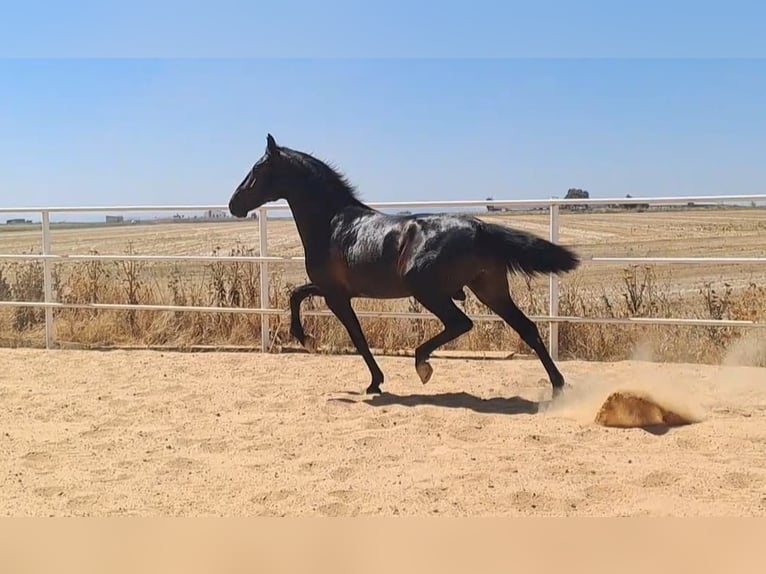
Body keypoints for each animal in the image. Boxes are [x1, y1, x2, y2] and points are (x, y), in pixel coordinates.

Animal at [230, 134, 584, 400]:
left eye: (258, 169)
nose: (234, 205)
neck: (333, 223)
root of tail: (480, 228)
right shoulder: (335, 289)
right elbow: (296, 294)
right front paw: (304, 338)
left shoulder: (336, 296)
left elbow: (356, 335)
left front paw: (372, 381)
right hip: (490, 290)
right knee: (527, 328)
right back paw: (558, 388)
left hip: (428, 290)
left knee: (461, 323)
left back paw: (422, 364)